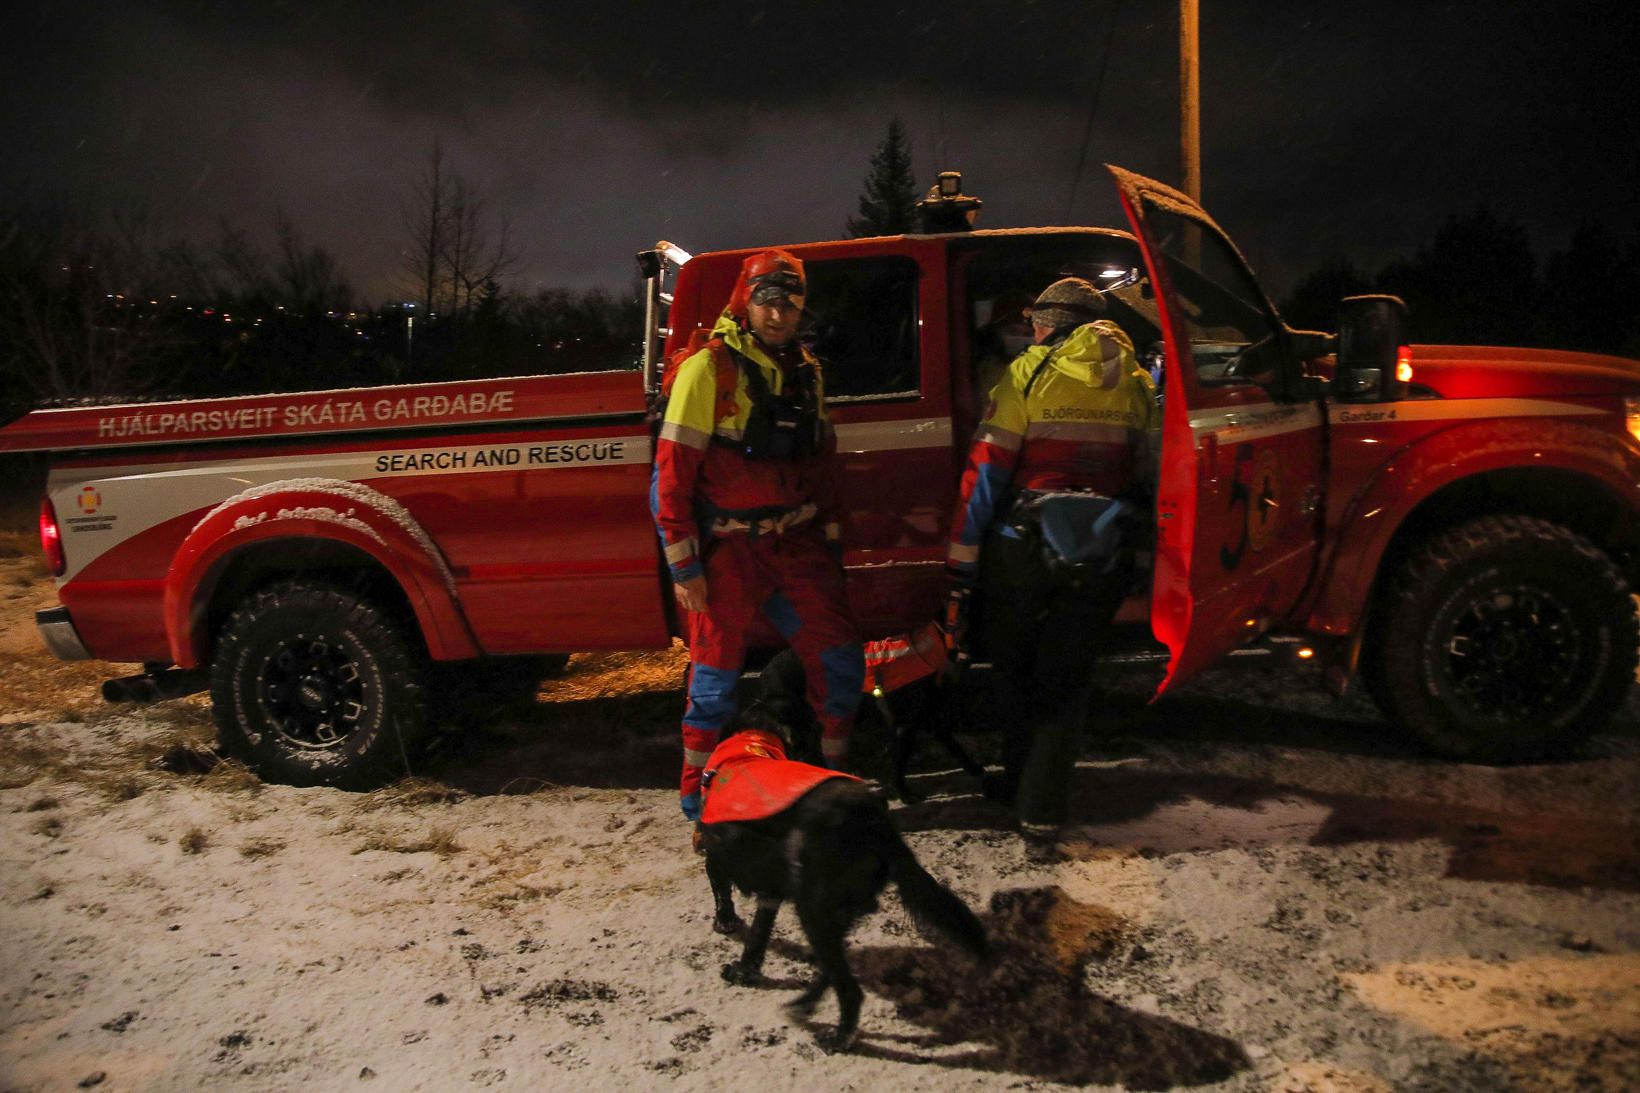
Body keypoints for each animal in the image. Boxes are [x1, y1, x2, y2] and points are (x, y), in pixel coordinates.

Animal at [692, 715, 984, 1050]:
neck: (751, 742)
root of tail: (874, 822)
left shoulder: (719, 858)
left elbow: (723, 894)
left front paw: (725, 924)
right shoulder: (771, 893)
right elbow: (757, 936)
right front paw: (744, 971)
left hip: (814, 910)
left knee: (848, 987)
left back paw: (838, 1035)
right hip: (836, 909)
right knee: (832, 968)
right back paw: (805, 1006)